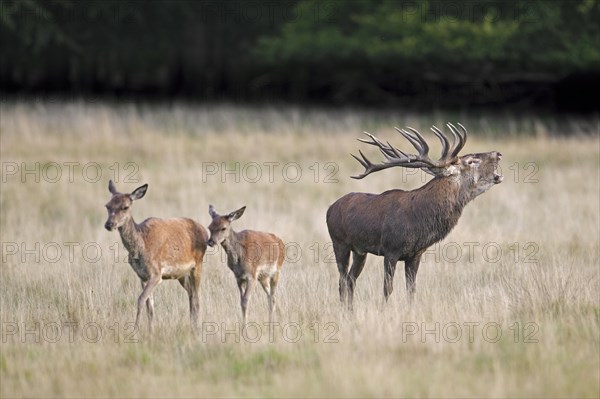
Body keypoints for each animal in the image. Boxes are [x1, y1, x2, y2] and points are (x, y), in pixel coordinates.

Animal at [106, 181, 210, 332]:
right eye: (107, 205)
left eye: (125, 207)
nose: (109, 224)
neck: (140, 247)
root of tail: (205, 231)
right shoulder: (142, 276)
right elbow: (150, 307)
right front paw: (150, 331)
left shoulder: (156, 273)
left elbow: (140, 299)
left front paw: (135, 330)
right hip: (181, 274)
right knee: (191, 295)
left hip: (197, 264)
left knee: (197, 297)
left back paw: (196, 327)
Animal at [326, 123, 504, 310]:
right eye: (471, 161)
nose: (498, 153)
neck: (418, 220)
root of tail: (329, 209)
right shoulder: (390, 249)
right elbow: (387, 288)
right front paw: (384, 310)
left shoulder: (415, 254)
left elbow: (411, 290)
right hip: (339, 242)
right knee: (342, 280)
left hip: (360, 251)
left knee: (351, 279)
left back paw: (350, 310)